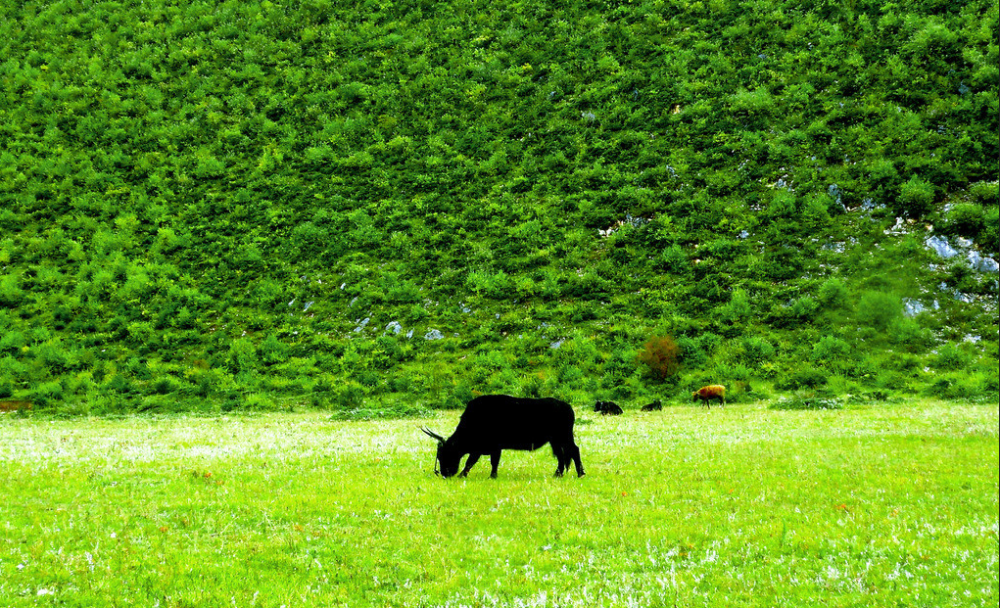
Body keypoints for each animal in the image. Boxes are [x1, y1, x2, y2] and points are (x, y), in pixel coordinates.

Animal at [416, 394, 584, 480]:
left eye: (445, 455)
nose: (445, 474)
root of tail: (566, 406)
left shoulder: (492, 447)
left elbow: (482, 462)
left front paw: (489, 476)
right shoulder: (481, 449)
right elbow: (473, 462)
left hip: (564, 437)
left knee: (574, 451)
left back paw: (580, 474)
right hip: (554, 440)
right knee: (561, 456)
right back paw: (557, 474)